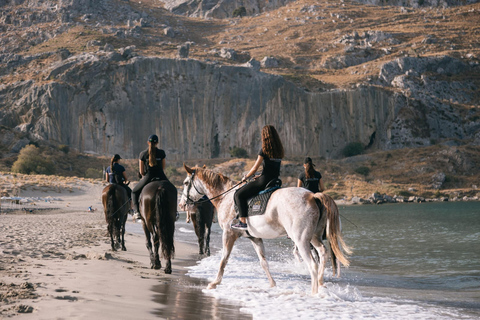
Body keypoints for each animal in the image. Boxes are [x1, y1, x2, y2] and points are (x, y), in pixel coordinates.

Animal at [178, 166, 350, 294]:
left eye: (186, 183)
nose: (181, 205)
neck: (225, 197)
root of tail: (312, 196)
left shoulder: (229, 234)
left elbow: (223, 260)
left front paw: (214, 283)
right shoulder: (255, 237)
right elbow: (263, 263)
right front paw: (273, 284)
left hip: (301, 240)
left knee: (312, 265)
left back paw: (314, 293)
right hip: (314, 237)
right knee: (322, 253)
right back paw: (321, 283)